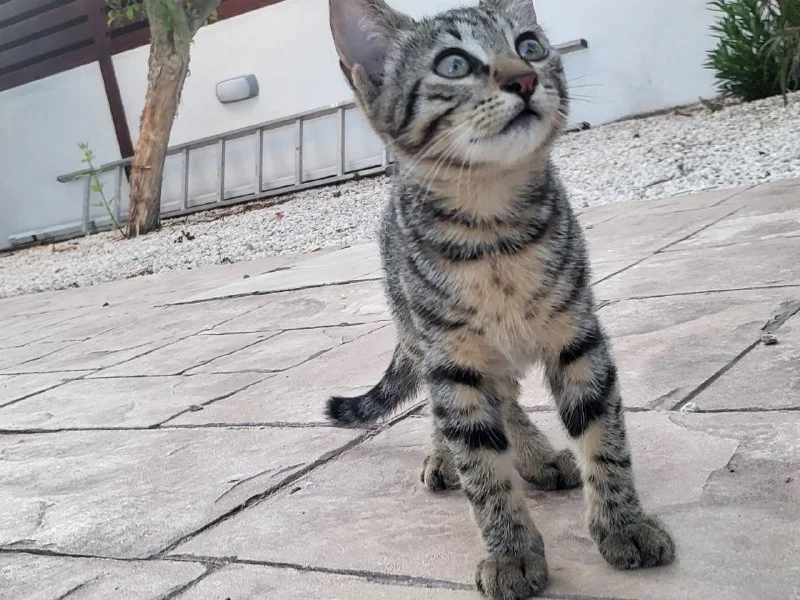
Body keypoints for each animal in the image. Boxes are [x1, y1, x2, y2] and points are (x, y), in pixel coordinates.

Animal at [325, 0, 675, 597]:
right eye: (454, 63)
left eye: (530, 46)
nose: (525, 78)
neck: (492, 230)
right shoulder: (452, 359)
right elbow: (482, 468)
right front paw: (510, 551)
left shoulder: (578, 338)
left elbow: (603, 435)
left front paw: (623, 523)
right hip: (419, 332)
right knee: (457, 407)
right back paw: (447, 455)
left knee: (507, 399)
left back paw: (537, 457)